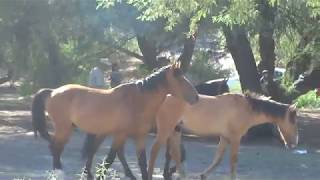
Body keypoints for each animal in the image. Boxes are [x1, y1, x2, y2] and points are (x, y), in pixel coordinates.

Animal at [31, 62, 198, 179]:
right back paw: (59, 173)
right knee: (56, 148)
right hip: (64, 129)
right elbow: (109, 159)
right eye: (181, 80)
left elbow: (142, 162)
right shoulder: (119, 135)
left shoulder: (139, 137)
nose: (196, 97)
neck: (137, 101)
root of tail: (53, 92)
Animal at [80, 77, 229, 179]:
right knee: (97, 149)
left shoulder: (172, 133)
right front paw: (169, 171)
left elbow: (175, 153)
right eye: (225, 89)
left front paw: (169, 171)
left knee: (112, 151)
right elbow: (175, 154)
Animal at [149, 93, 298, 179]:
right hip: (165, 130)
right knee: (155, 151)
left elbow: (218, 159)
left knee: (175, 153)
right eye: (293, 120)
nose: (294, 143)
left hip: (175, 131)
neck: (246, 108)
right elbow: (233, 161)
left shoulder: (225, 137)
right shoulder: (235, 138)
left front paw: (203, 175)